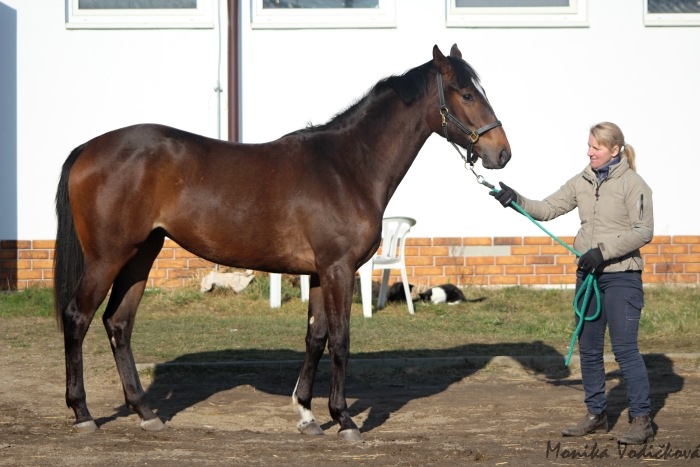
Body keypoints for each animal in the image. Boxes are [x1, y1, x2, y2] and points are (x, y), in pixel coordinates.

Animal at [53, 44, 508, 442]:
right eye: (467, 93)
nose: (502, 153)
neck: (347, 166)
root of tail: (88, 148)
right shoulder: (339, 269)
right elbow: (341, 341)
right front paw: (344, 420)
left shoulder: (322, 272)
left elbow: (315, 338)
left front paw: (307, 414)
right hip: (107, 257)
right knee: (77, 317)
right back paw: (83, 414)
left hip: (141, 255)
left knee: (118, 323)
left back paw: (146, 413)